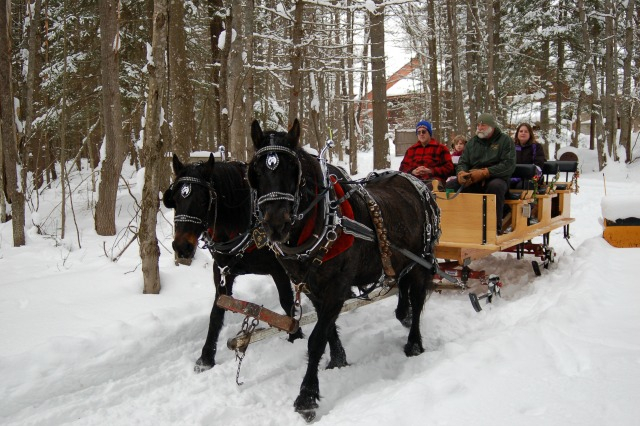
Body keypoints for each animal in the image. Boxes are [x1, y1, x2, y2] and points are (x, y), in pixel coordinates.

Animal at [165, 155, 304, 372]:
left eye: (204, 199)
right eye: (176, 199)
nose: (181, 247)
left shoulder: (279, 270)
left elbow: (287, 302)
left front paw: (295, 337)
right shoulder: (222, 271)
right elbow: (216, 311)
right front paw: (206, 358)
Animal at [248, 119, 442, 420]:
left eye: (293, 170)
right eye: (256, 171)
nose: (276, 224)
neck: (324, 220)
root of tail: (417, 181)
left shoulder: (336, 287)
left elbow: (316, 339)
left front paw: (307, 396)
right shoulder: (312, 288)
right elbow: (327, 329)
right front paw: (338, 360)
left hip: (422, 261)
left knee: (419, 297)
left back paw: (414, 343)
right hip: (402, 261)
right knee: (404, 289)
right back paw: (405, 314)